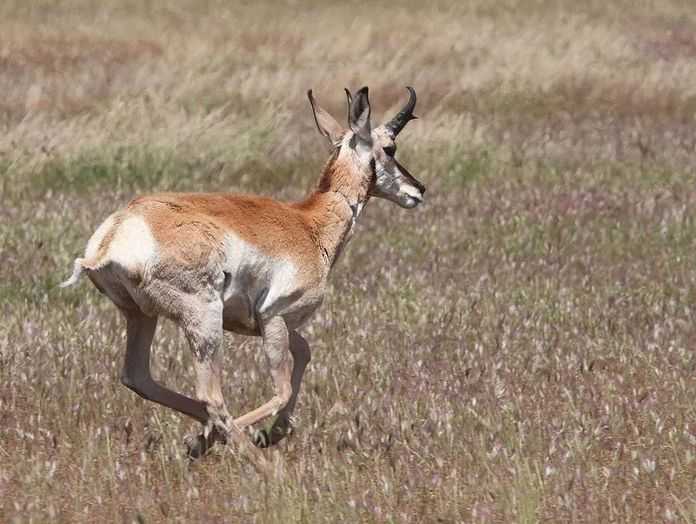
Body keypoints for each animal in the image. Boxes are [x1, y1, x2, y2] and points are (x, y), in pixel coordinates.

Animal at [61, 87, 424, 466]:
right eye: (390, 148)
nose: (419, 190)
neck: (308, 224)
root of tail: (115, 233)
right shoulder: (275, 318)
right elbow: (282, 390)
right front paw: (244, 439)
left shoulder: (271, 324)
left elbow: (305, 352)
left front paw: (271, 433)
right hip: (203, 321)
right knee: (211, 396)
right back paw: (255, 461)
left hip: (141, 316)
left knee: (138, 377)